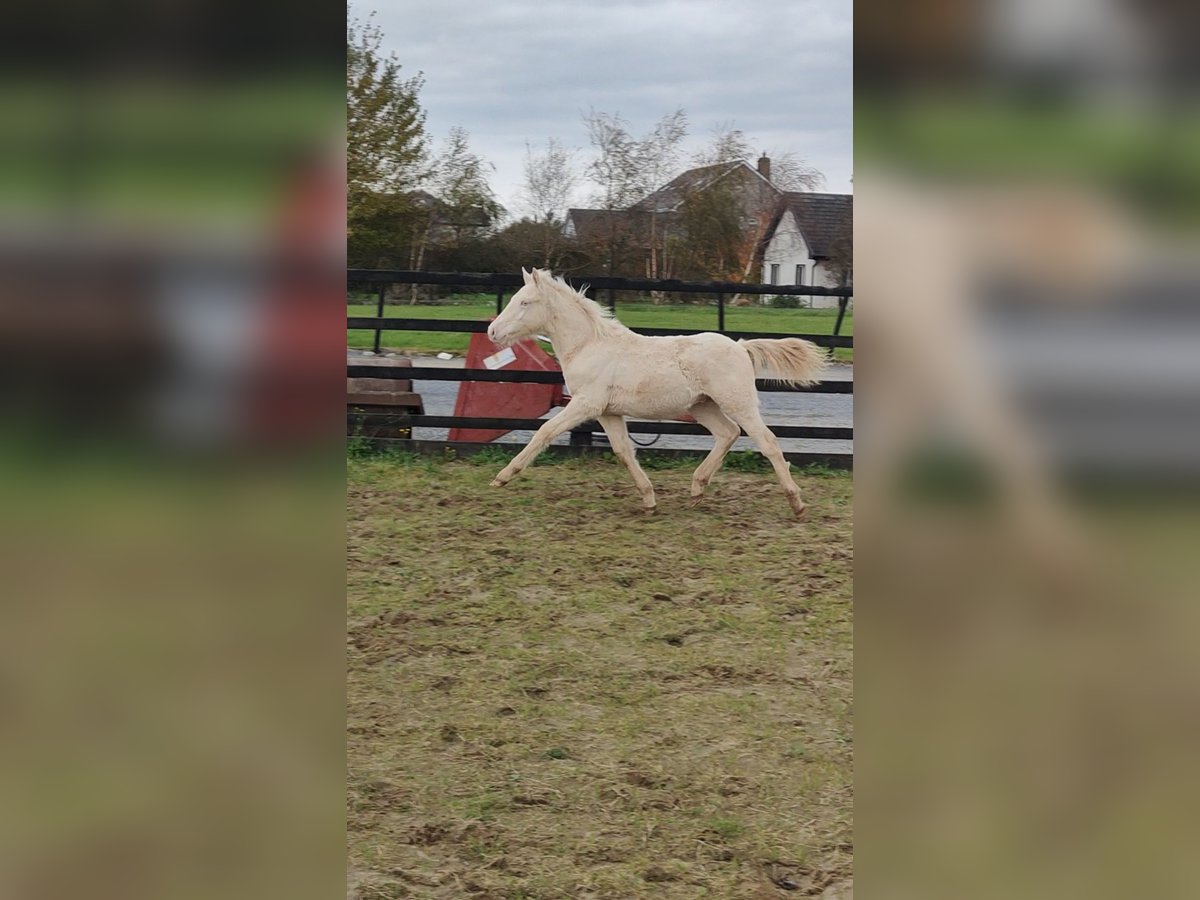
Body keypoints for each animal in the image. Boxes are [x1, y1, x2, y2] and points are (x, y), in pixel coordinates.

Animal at [484, 268, 829, 518]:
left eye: (525, 302)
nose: (492, 331)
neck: (590, 346)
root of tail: (741, 347)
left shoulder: (586, 405)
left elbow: (544, 431)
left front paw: (503, 476)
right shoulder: (608, 412)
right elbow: (624, 451)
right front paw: (649, 500)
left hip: (737, 403)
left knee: (767, 441)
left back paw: (796, 503)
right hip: (704, 406)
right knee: (728, 433)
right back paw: (697, 489)